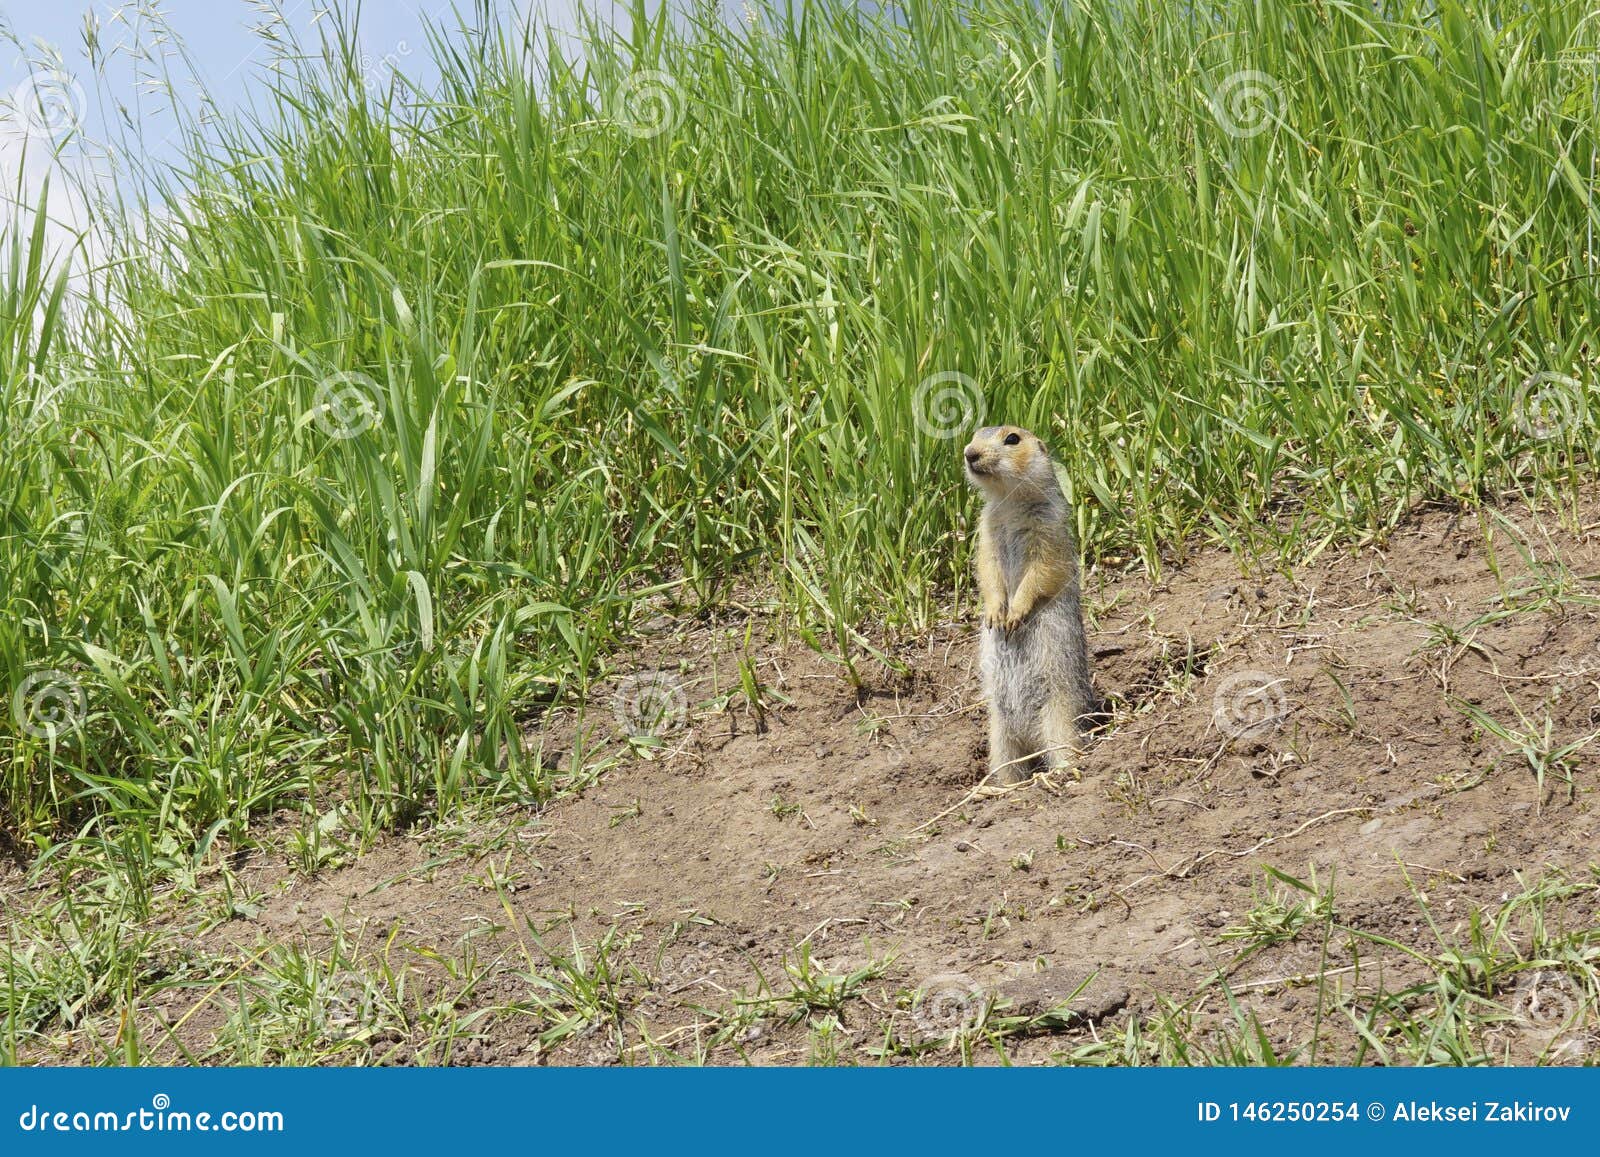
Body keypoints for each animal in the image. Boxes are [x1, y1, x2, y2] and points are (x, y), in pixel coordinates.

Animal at [960, 425, 1100, 787]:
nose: (969, 453)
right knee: (1009, 763)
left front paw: (1015, 613)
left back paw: (1065, 772)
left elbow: (1040, 572)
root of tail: (1029, 736)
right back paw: (1005, 786)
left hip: (1059, 717)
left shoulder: (1047, 529)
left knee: (1064, 745)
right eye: (975, 434)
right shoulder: (986, 532)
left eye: (1012, 439)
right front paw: (996, 612)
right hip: (999, 734)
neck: (1009, 502)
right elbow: (988, 571)